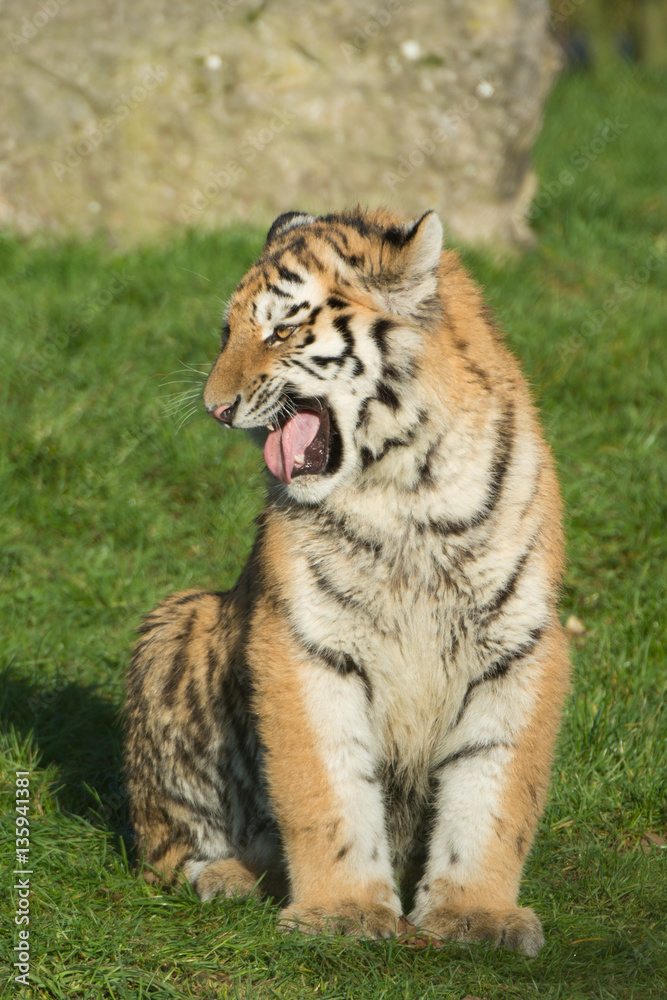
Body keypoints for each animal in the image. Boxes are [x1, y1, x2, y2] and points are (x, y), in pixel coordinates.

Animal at [124, 207, 570, 956]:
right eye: (226, 333)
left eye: (280, 331)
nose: (216, 408)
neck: (402, 483)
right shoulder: (303, 639)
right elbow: (325, 787)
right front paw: (344, 913)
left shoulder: (519, 641)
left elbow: (494, 792)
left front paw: (474, 915)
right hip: (176, 621)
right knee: (164, 849)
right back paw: (230, 877)